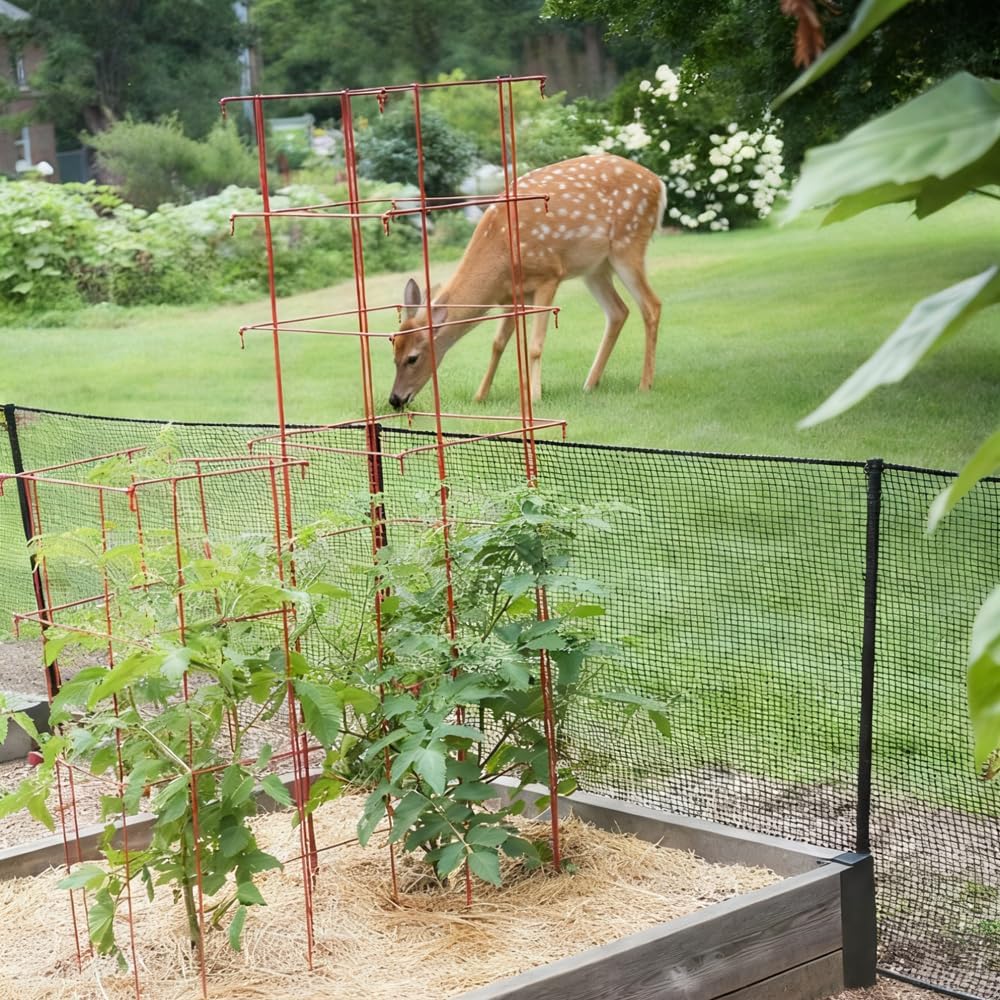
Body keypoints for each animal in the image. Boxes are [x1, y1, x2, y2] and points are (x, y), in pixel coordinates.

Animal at [388, 153, 666, 409]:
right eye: (394, 353)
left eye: (413, 357)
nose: (395, 399)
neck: (500, 255)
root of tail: (659, 183)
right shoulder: (510, 297)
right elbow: (498, 344)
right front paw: (481, 396)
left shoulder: (549, 275)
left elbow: (534, 345)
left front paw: (534, 396)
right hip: (595, 267)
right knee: (618, 311)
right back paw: (589, 384)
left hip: (628, 243)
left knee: (651, 305)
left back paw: (645, 384)